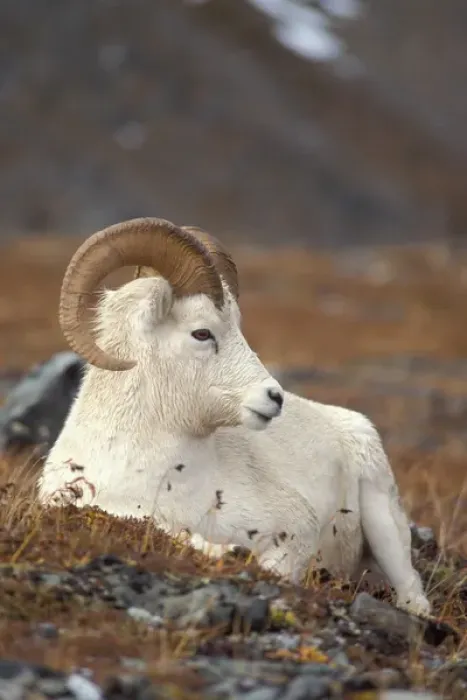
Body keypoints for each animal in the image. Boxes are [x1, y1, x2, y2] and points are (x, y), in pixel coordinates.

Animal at [38, 217, 431, 617]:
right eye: (202, 332)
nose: (274, 397)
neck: (158, 478)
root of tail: (354, 424)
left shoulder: (295, 533)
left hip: (384, 523)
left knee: (413, 592)